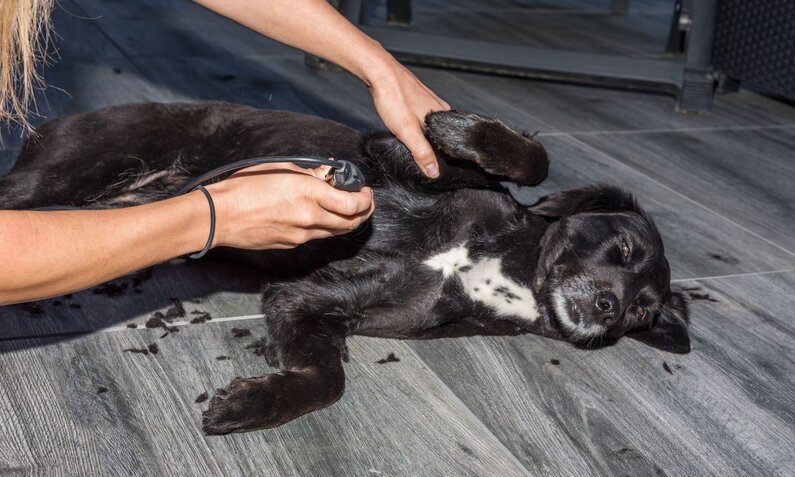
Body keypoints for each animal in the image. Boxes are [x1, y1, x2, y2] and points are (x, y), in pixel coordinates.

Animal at [0, 101, 692, 436]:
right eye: (623, 250)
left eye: (642, 311)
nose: (608, 307)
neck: (505, 267)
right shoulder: (389, 154)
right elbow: (534, 160)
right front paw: (455, 124)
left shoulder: (310, 303)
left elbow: (326, 380)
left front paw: (250, 405)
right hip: (55, 178)